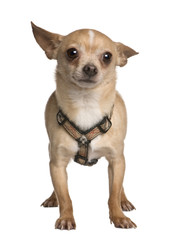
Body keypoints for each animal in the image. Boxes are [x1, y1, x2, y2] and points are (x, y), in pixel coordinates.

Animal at [31, 23, 138, 231]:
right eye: (72, 52)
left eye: (107, 56)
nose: (90, 68)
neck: (86, 103)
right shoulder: (57, 164)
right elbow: (65, 196)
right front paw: (65, 217)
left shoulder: (116, 160)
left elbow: (113, 193)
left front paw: (118, 216)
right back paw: (52, 198)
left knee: (119, 187)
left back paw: (124, 200)